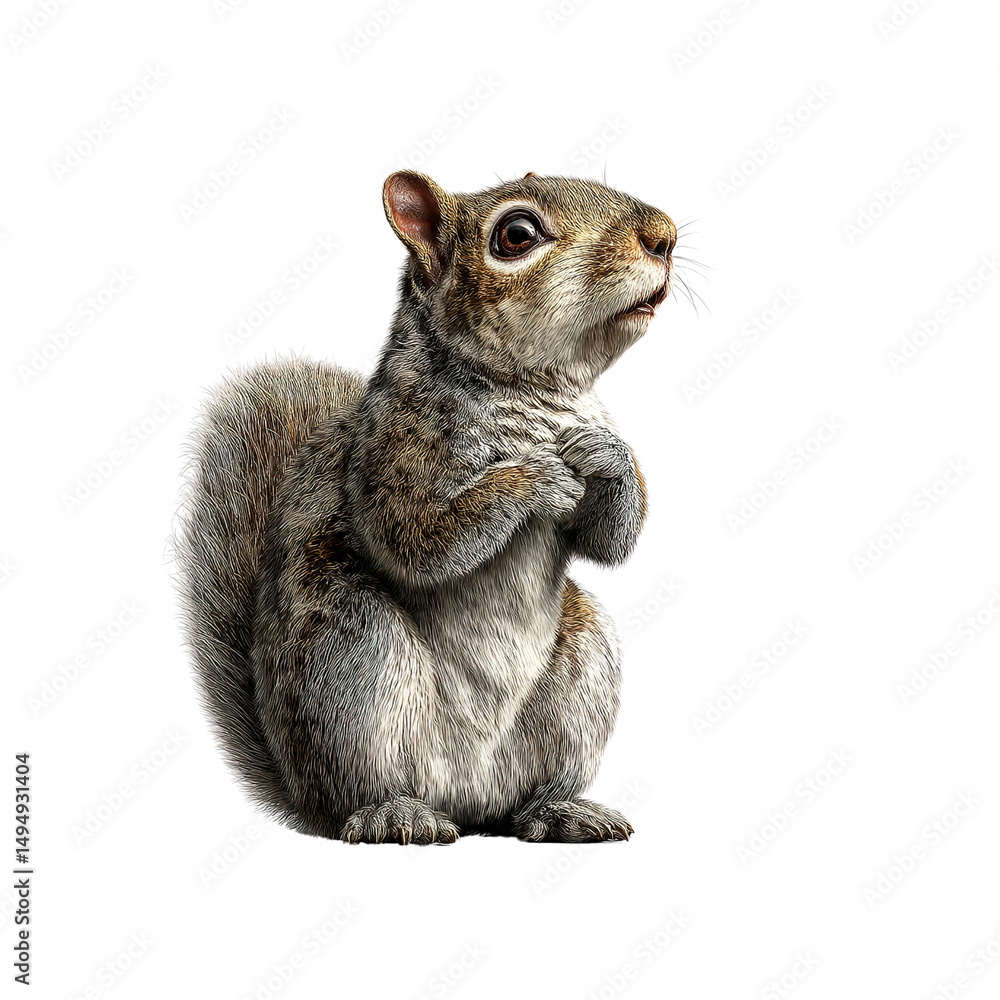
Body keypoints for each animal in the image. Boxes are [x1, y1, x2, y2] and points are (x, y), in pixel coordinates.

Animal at [176, 170, 675, 845]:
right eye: (516, 235)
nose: (664, 236)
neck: (536, 393)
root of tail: (466, 804)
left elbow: (610, 537)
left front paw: (605, 455)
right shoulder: (391, 449)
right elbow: (415, 539)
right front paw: (532, 478)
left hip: (582, 668)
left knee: (524, 803)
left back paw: (561, 810)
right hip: (355, 657)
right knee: (365, 789)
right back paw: (395, 814)